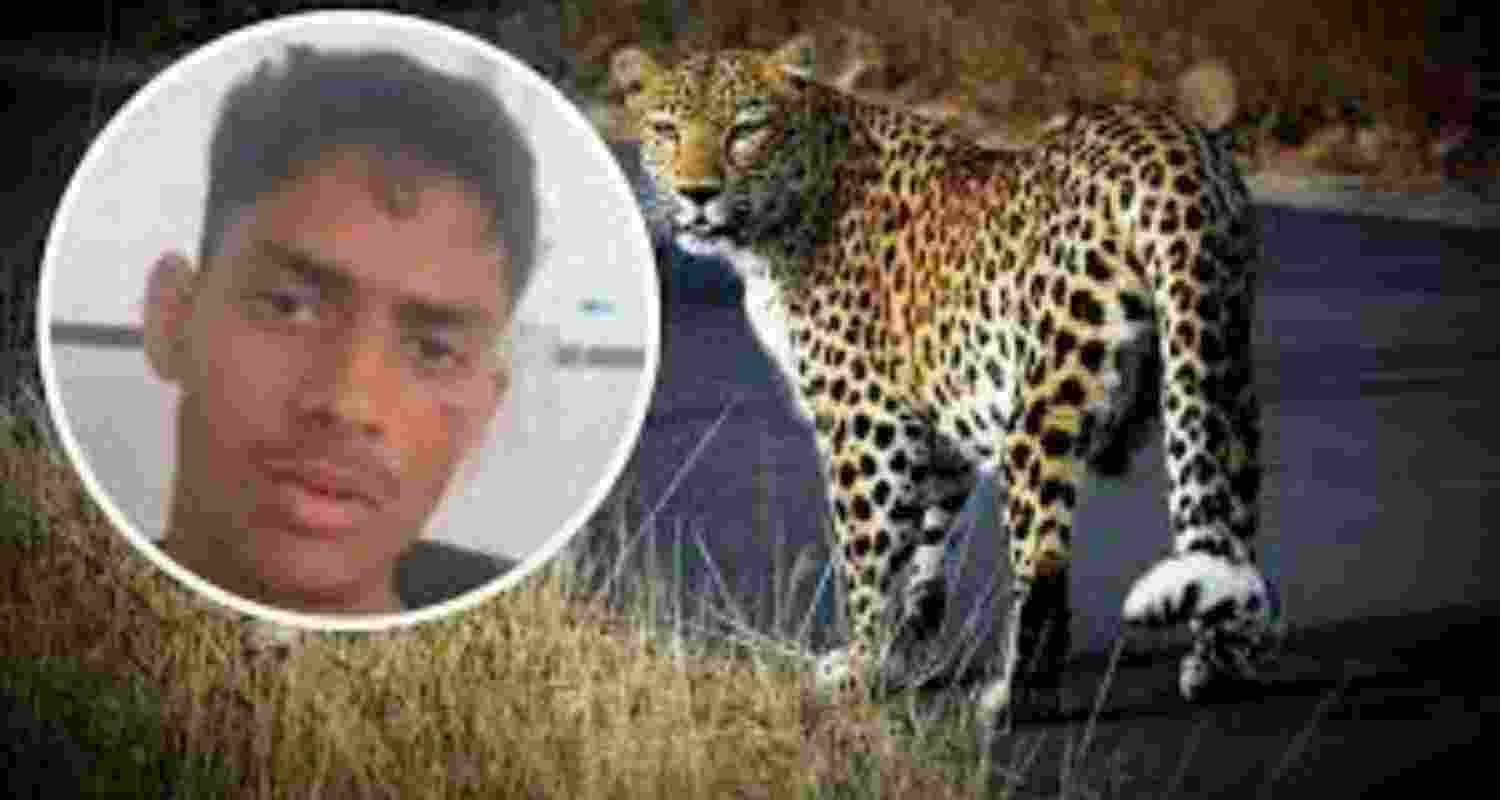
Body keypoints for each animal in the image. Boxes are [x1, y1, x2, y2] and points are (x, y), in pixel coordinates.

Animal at [615, 39, 1283, 728]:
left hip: (1044, 409)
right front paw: (901, 655)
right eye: (666, 131)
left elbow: (868, 552)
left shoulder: (867, 419)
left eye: (745, 130)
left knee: (1044, 566)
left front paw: (861, 666)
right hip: (1218, 369)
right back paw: (1220, 666)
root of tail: (1169, 145)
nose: (698, 194)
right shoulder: (939, 423)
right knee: (1225, 531)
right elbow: (925, 551)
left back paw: (1012, 699)